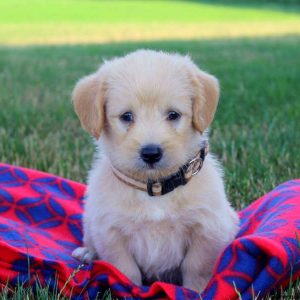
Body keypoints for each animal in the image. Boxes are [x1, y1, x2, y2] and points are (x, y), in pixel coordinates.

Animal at [71, 49, 239, 292]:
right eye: (126, 116)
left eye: (173, 115)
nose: (151, 153)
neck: (155, 188)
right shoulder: (110, 233)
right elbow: (125, 271)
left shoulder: (208, 229)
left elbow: (196, 268)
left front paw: (195, 292)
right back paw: (87, 252)